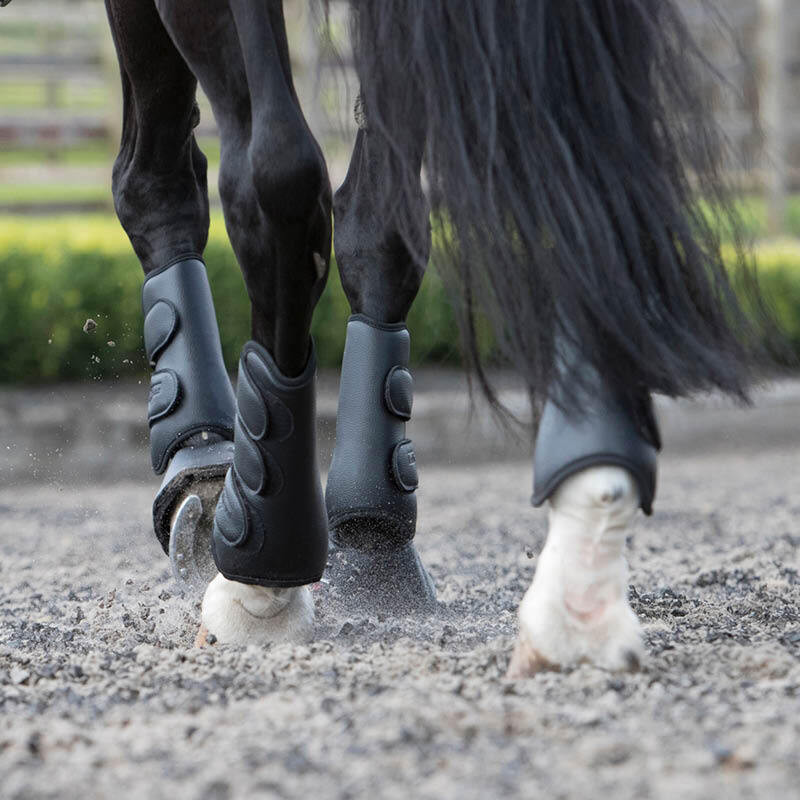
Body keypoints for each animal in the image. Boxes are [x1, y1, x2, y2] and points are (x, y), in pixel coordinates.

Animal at [73, 0, 767, 675]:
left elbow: (155, 181)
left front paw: (203, 466)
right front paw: (372, 546)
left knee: (272, 178)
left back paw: (256, 577)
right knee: (579, 189)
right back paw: (578, 580)